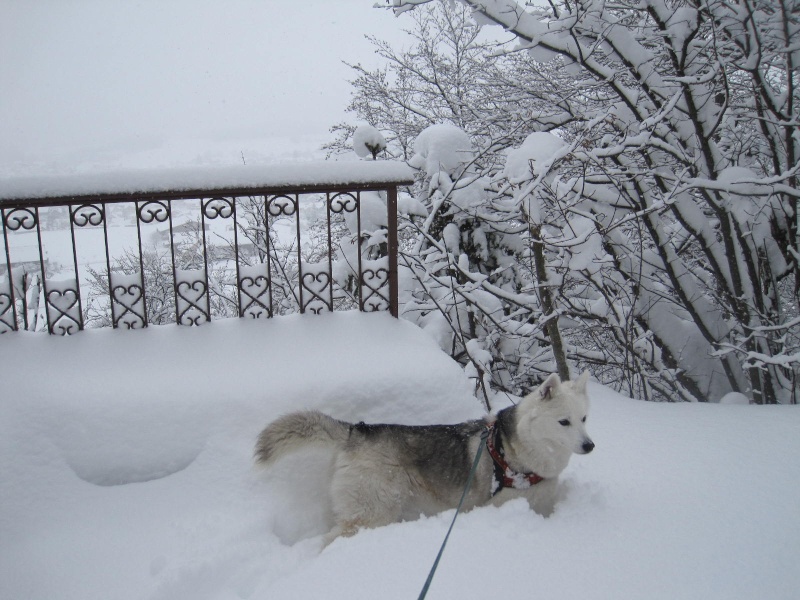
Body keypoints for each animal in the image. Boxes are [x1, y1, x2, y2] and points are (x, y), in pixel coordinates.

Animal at [256, 372, 592, 540]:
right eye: (564, 422)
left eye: (584, 418)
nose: (590, 446)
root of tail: (357, 430)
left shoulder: (542, 504)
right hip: (374, 512)